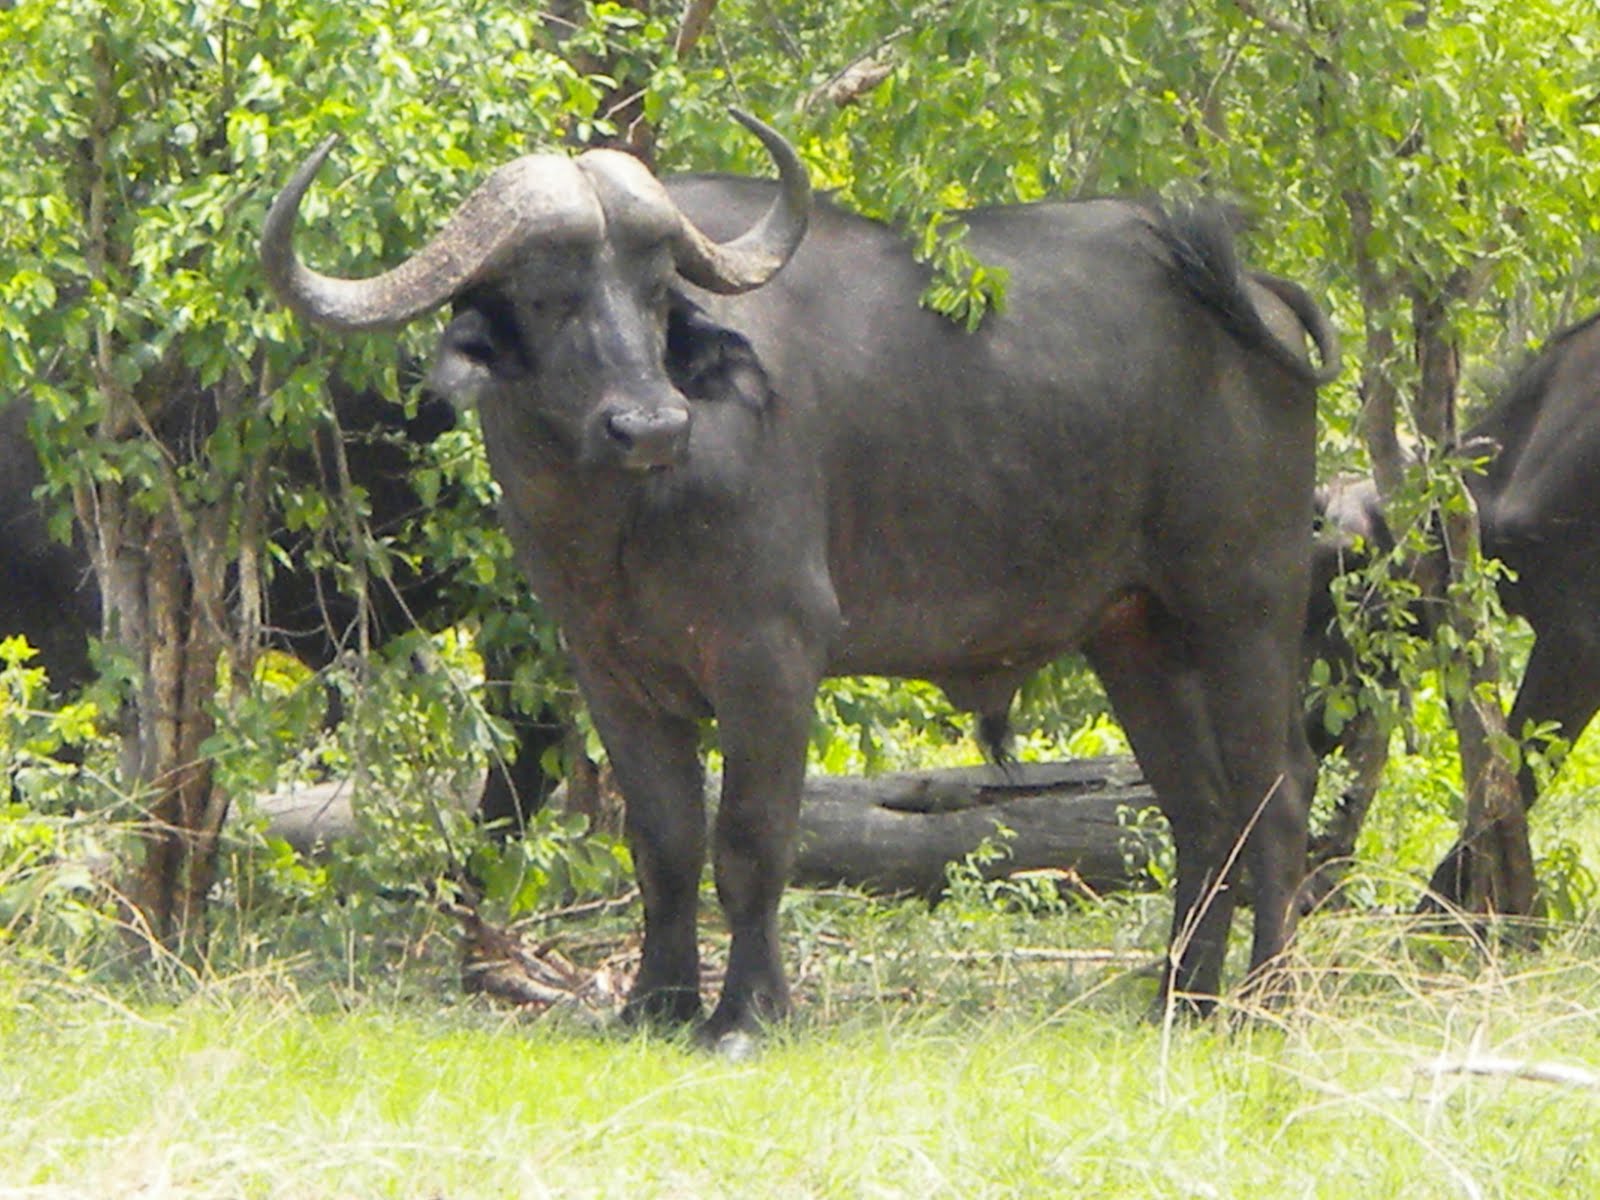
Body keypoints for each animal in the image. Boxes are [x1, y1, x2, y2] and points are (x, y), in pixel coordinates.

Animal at [260, 111, 1340, 1042]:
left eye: (654, 295)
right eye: (544, 296)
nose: (649, 425)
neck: (624, 520)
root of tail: (1253, 294)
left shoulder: (769, 655)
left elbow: (749, 839)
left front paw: (745, 1015)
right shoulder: (609, 673)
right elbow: (663, 844)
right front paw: (654, 1004)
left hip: (1245, 600)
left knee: (1278, 796)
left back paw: (1267, 1002)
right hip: (1133, 630)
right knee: (1203, 812)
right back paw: (1180, 1001)